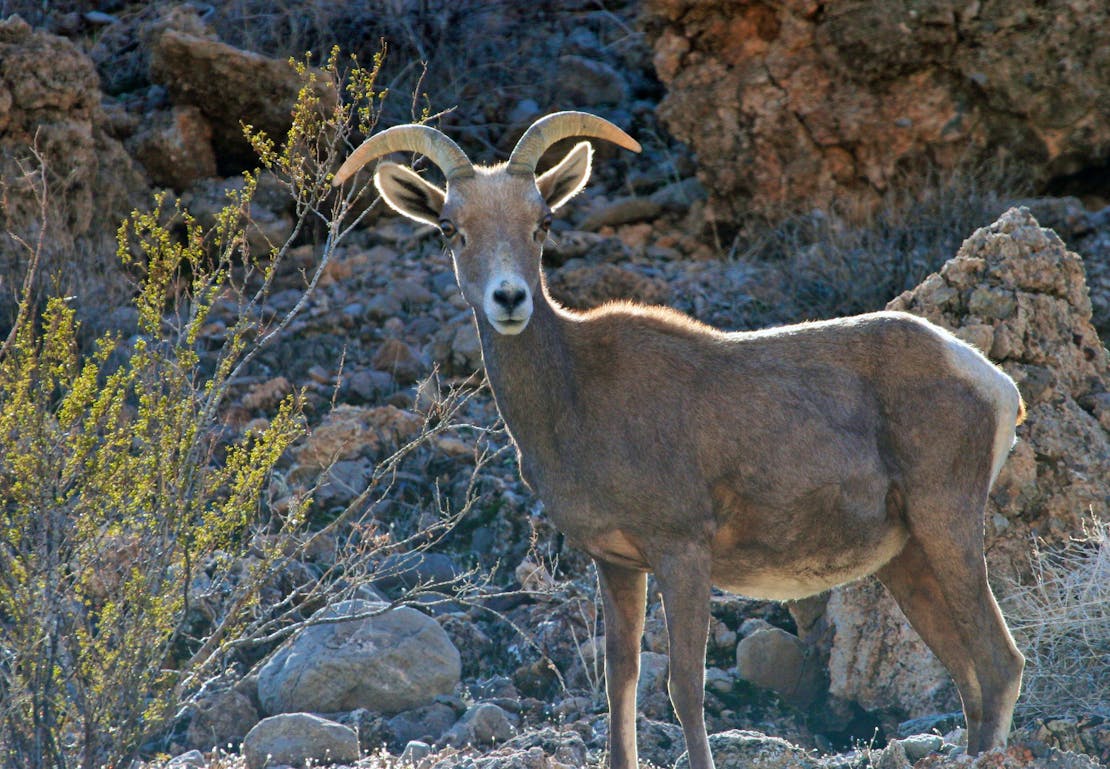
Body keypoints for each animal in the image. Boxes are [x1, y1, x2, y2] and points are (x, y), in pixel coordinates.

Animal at [333, 110, 1025, 767]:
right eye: (450, 228)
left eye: (542, 223)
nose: (510, 299)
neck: (576, 396)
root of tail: (989, 380)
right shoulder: (615, 563)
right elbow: (622, 680)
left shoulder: (683, 554)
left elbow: (684, 688)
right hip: (907, 560)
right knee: (969, 676)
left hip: (946, 527)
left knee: (1000, 663)